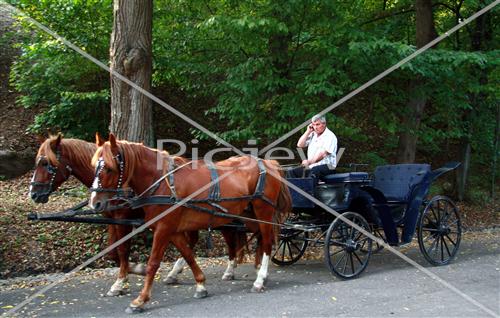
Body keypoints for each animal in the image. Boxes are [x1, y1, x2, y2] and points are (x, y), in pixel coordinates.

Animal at [26, 135, 248, 298]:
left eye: (46, 163)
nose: (34, 194)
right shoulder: (113, 219)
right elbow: (112, 251)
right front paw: (132, 271)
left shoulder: (124, 218)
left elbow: (122, 249)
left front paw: (124, 278)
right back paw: (177, 272)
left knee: (229, 238)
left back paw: (229, 268)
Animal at [92, 134, 292, 314]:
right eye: (95, 166)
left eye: (108, 168)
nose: (95, 203)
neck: (162, 181)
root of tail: (269, 163)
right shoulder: (172, 230)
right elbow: (188, 254)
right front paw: (200, 285)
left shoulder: (163, 229)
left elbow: (153, 263)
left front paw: (140, 300)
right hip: (247, 215)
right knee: (257, 238)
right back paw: (257, 271)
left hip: (263, 211)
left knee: (267, 242)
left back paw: (259, 280)